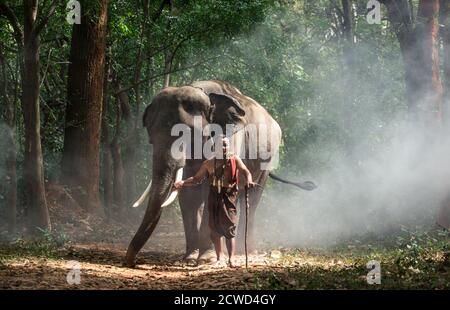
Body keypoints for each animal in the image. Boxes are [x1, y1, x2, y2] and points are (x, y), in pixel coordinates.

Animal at [121, 79, 314, 266]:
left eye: (186, 133)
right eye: (150, 135)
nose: (131, 262)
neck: (204, 93)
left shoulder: (231, 138)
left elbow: (212, 192)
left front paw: (205, 259)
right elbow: (189, 194)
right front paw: (190, 258)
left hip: (268, 161)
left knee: (252, 197)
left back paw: (244, 250)